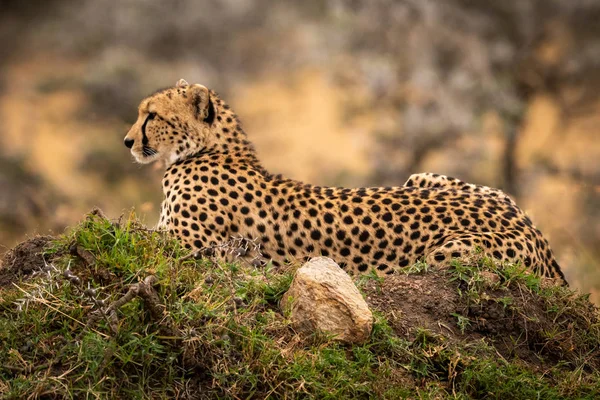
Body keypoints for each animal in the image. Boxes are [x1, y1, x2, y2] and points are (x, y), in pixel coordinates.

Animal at [123, 79, 568, 284]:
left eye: (152, 115)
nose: (127, 141)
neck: (210, 149)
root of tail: (534, 230)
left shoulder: (185, 245)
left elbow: (128, 233)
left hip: (451, 252)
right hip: (422, 177)